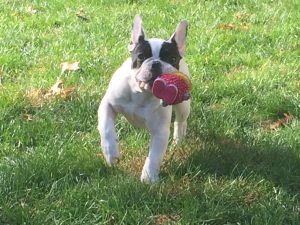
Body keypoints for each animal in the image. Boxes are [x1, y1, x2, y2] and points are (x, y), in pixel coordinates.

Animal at [97, 14, 191, 182]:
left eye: (172, 58)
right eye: (141, 56)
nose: (156, 63)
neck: (142, 93)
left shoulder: (160, 131)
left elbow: (154, 156)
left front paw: (148, 177)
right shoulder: (108, 105)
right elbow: (106, 128)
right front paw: (110, 153)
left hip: (183, 105)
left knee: (181, 121)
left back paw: (178, 140)